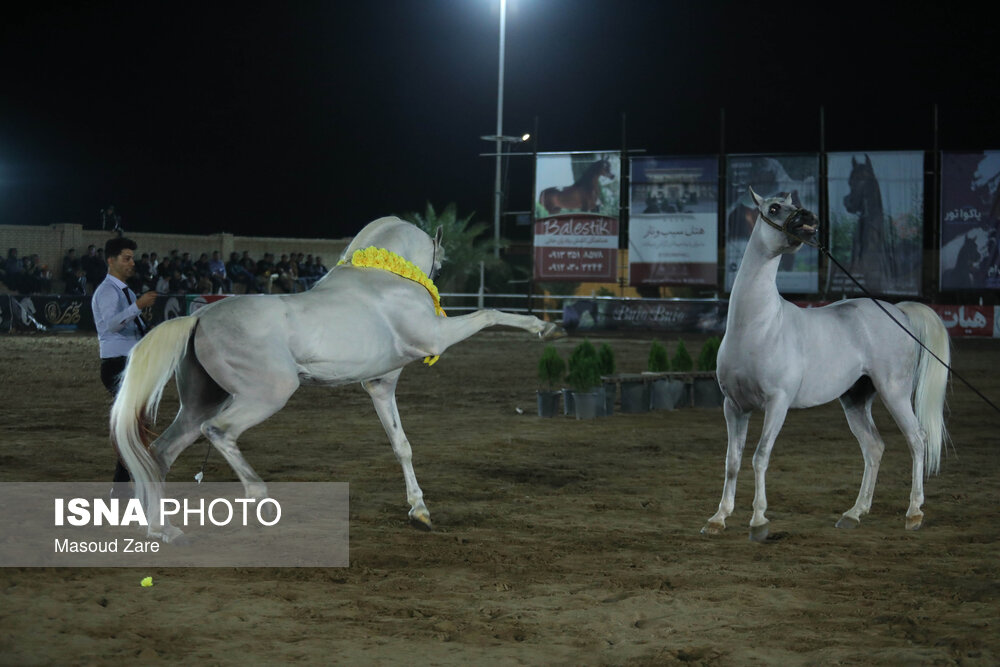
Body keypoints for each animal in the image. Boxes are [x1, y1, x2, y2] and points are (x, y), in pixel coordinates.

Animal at [113, 219, 564, 544]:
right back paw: (259, 499)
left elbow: (401, 445)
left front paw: (419, 511)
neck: (387, 279)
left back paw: (162, 528)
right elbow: (489, 313)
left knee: (161, 452)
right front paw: (546, 328)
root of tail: (200, 316)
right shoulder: (436, 338)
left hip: (200, 402)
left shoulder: (381, 386)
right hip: (267, 394)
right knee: (219, 431)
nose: (440, 275)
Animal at [700, 188, 948, 544]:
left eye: (795, 205)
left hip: (895, 392)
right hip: (855, 400)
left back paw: (914, 513)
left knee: (917, 439)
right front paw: (718, 518)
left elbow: (760, 457)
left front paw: (759, 521)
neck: (757, 327)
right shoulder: (734, 406)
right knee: (874, 447)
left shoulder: (777, 403)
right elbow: (731, 461)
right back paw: (854, 513)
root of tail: (898, 310)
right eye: (773, 208)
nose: (809, 218)